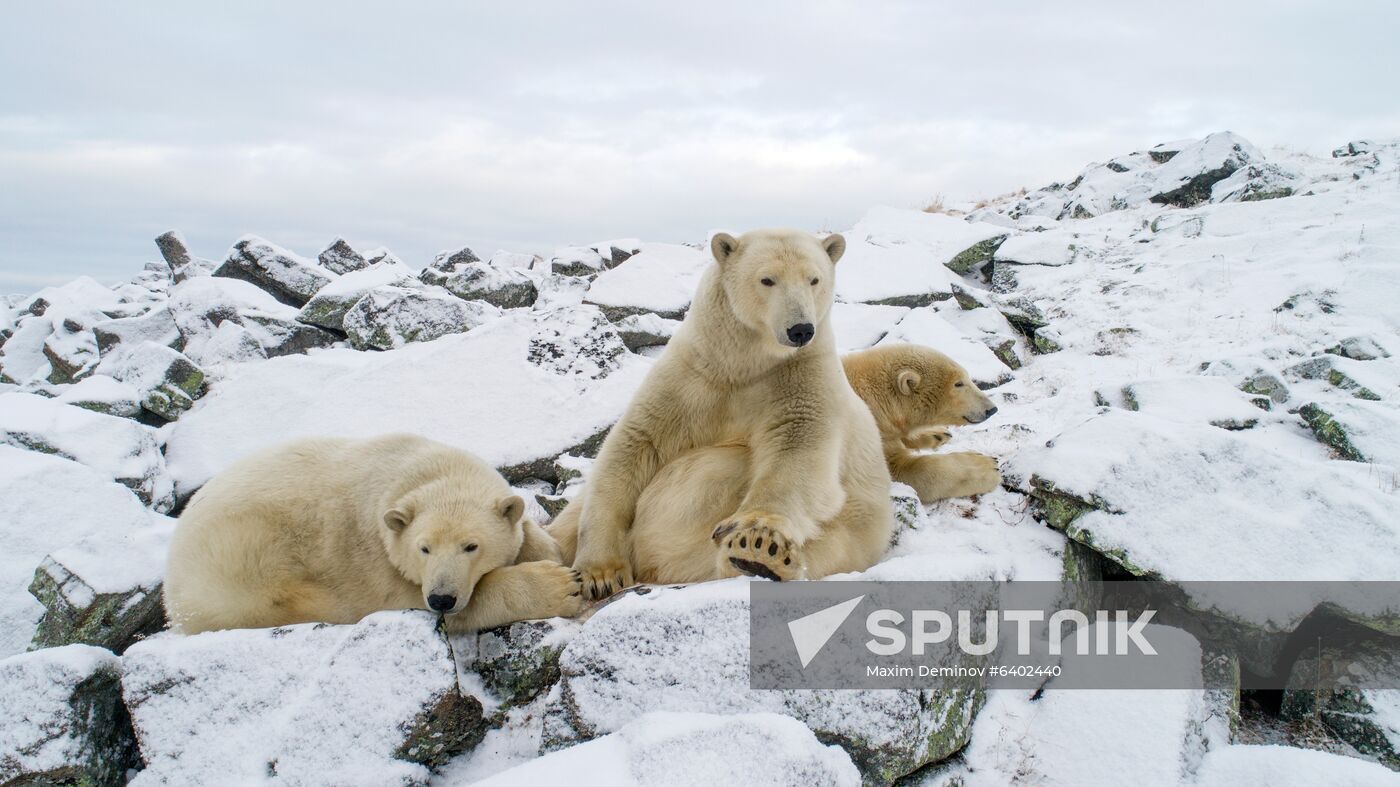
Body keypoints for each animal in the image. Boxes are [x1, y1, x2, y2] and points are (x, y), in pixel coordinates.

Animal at [163, 433, 582, 634]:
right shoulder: (373, 561)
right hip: (241, 577)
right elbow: (415, 600)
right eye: (423, 548)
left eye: (471, 546)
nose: (442, 598)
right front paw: (560, 586)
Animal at [550, 228, 895, 598]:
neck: (742, 364)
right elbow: (634, 444)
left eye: (814, 279)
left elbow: (797, 450)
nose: (800, 329)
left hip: (852, 531)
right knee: (568, 520)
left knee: (822, 549)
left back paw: (759, 559)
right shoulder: (692, 376)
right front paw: (600, 573)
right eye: (767, 279)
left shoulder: (800, 376)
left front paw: (757, 536)